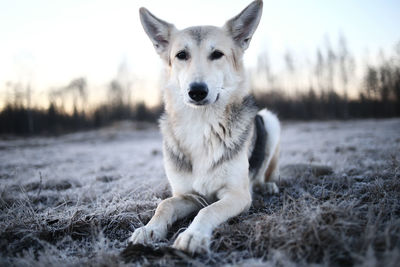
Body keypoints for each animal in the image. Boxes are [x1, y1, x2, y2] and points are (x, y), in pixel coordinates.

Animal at [130, 0, 280, 254]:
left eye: (217, 54)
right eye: (181, 55)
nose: (197, 91)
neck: (201, 125)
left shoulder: (237, 195)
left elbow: (209, 210)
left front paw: (193, 235)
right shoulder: (188, 195)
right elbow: (164, 204)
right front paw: (149, 229)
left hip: (270, 121)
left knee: (262, 174)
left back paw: (266, 186)